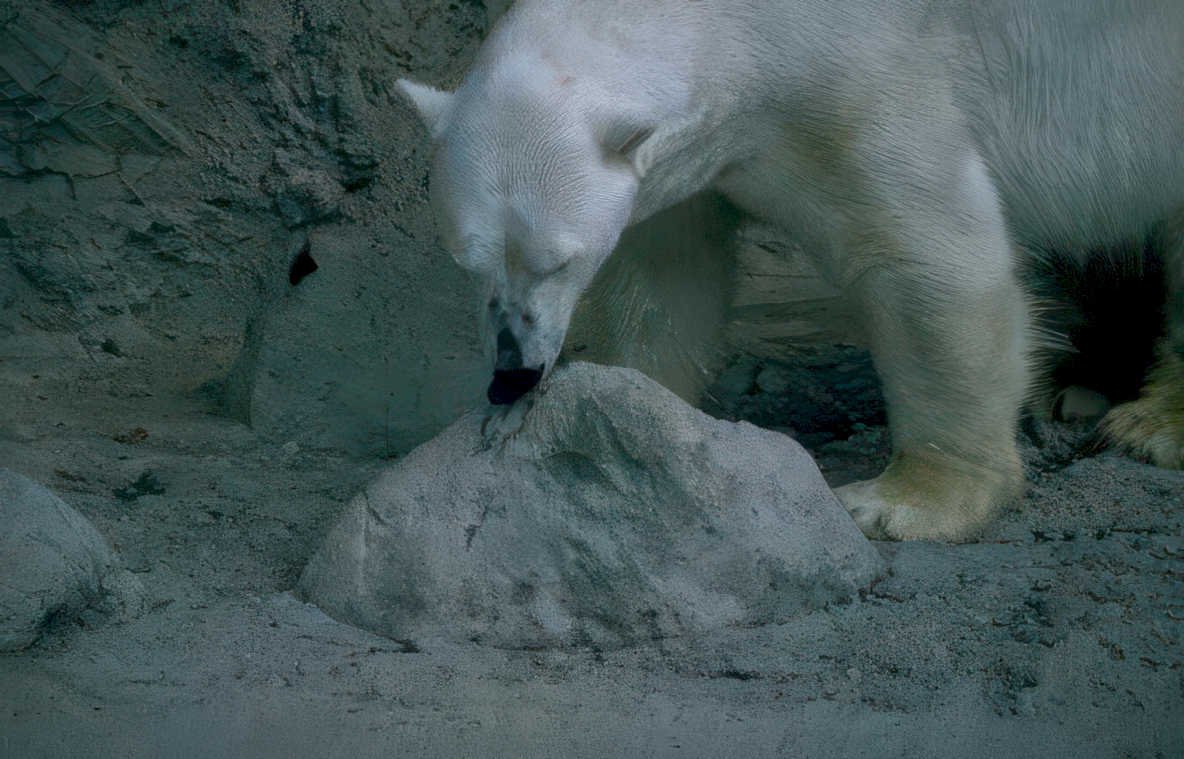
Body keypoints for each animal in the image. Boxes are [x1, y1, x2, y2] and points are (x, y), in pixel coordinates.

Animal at [397, 0, 1184, 541]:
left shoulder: (862, 77)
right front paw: (614, 414)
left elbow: (926, 257)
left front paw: (900, 503)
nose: (512, 372)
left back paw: (1149, 422)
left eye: (558, 260)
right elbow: (664, 273)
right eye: (467, 261)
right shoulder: (694, 154)